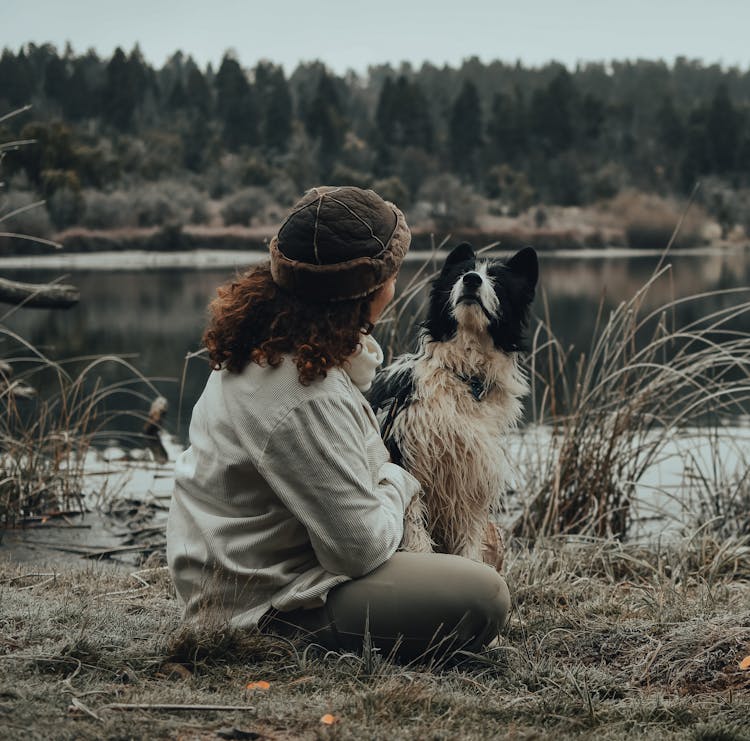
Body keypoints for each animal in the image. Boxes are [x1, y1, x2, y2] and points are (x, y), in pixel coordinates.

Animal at [372, 241, 540, 560]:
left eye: (496, 280)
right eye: (461, 273)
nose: (472, 280)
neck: (466, 376)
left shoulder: (471, 482)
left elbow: (469, 546)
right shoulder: (407, 459)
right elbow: (415, 530)